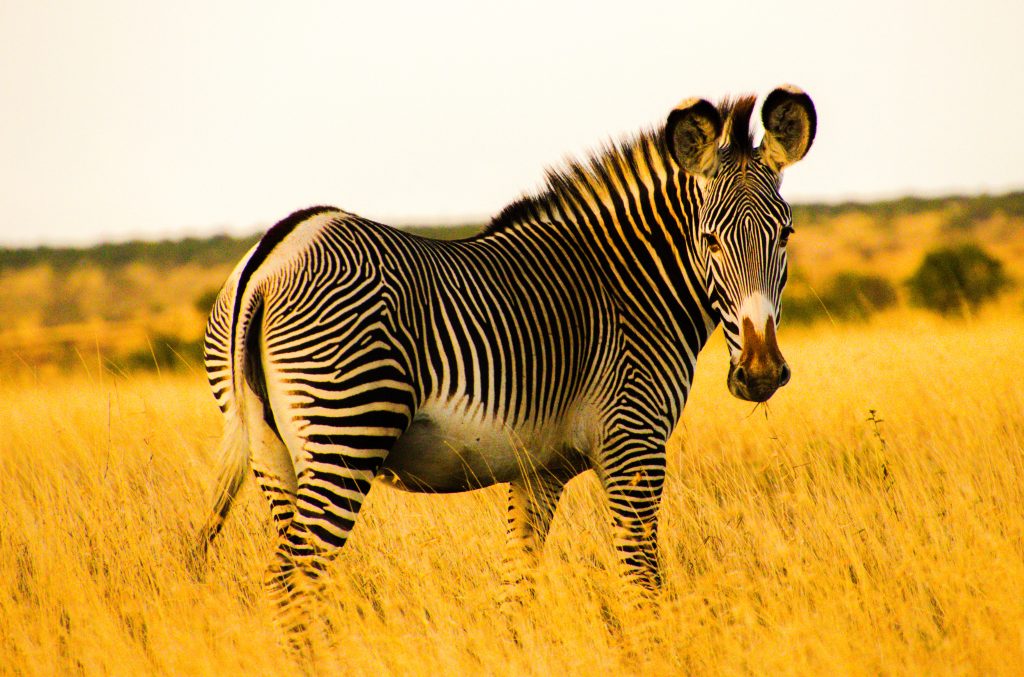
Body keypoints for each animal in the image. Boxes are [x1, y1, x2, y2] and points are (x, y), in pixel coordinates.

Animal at [194, 86, 816, 638]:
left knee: (291, 581)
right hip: (345, 428)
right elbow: (643, 586)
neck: (627, 285)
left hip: (272, 453)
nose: (762, 373)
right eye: (709, 239)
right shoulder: (633, 444)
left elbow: (516, 587)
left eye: (785, 234)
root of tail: (270, 255)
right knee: (294, 582)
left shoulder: (537, 470)